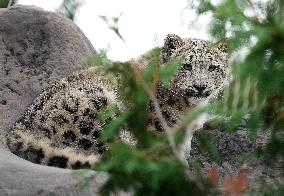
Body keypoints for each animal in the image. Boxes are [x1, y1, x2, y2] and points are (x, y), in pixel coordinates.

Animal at [6, 33, 229, 168]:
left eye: (213, 67)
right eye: (186, 66)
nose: (200, 86)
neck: (188, 110)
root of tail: (19, 128)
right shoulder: (157, 128)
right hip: (97, 109)